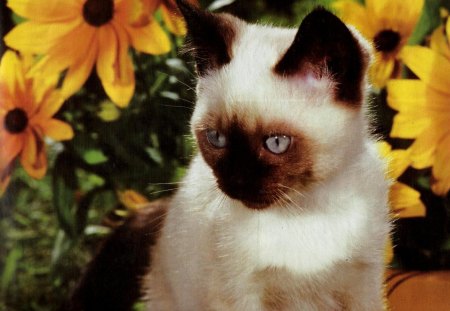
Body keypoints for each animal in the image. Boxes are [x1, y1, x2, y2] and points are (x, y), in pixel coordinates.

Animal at [144, 1, 390, 310]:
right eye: (216, 138)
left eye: (276, 143)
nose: (236, 181)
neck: (308, 211)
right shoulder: (240, 295)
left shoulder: (362, 284)